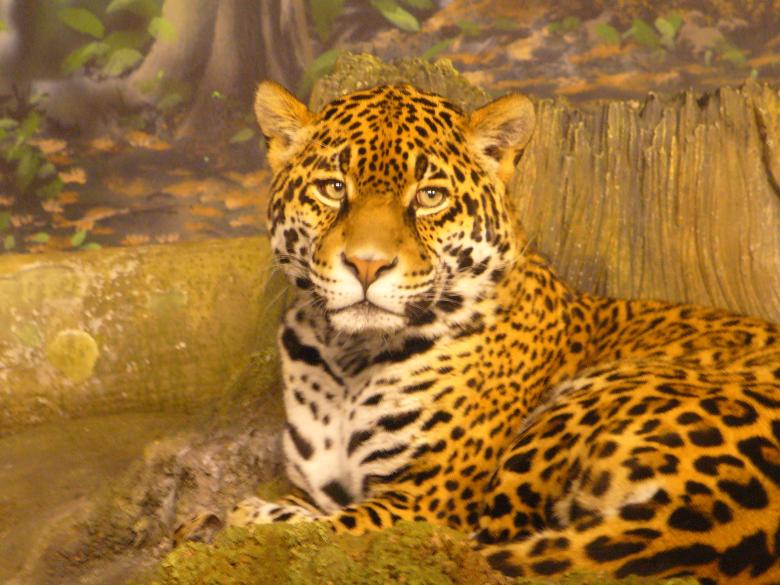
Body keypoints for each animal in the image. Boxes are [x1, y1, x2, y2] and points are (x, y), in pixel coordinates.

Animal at [183, 81, 780, 583]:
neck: (348, 355)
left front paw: (241, 516)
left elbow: (345, 527)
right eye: (332, 189)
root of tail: (717, 520)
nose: (367, 265)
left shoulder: (426, 499)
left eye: (429, 196)